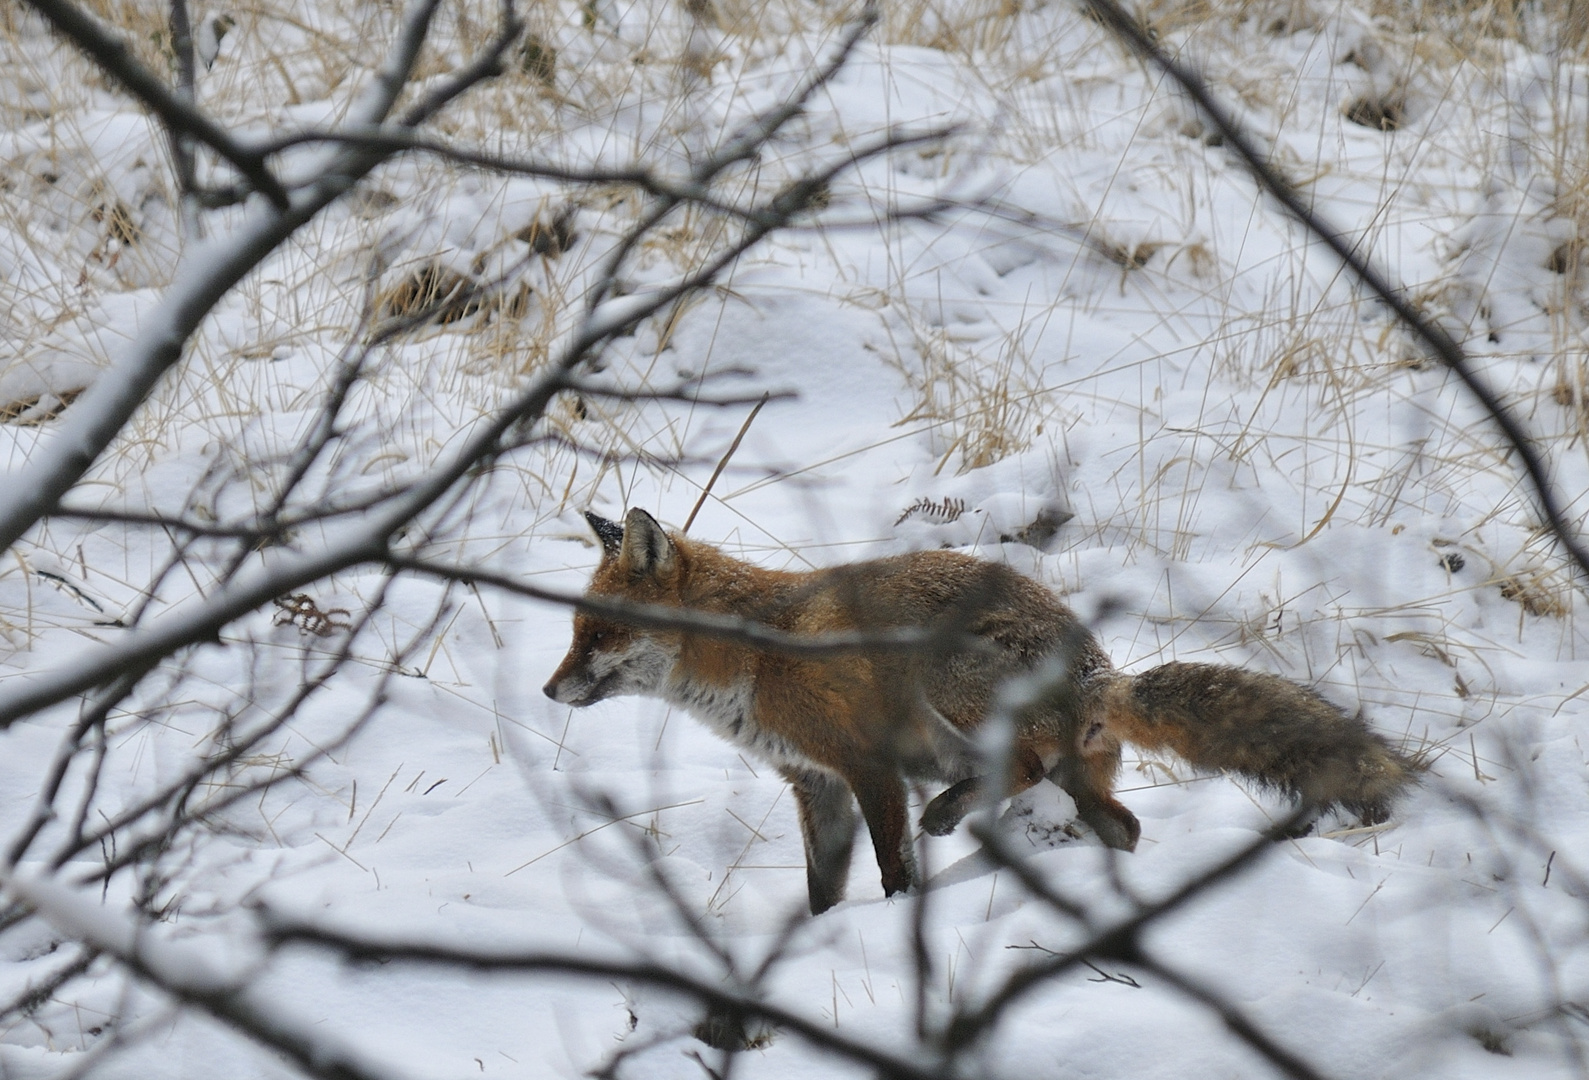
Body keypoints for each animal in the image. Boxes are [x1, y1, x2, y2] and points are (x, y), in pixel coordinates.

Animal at [546, 511, 1417, 914]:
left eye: (599, 634)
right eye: (574, 631)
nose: (549, 692)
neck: (752, 656)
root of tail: (1099, 671)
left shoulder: (866, 766)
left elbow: (892, 869)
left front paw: (896, 919)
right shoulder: (814, 785)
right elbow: (822, 889)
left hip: (947, 684)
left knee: (1016, 767)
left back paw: (953, 815)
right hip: (1076, 781)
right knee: (1121, 824)